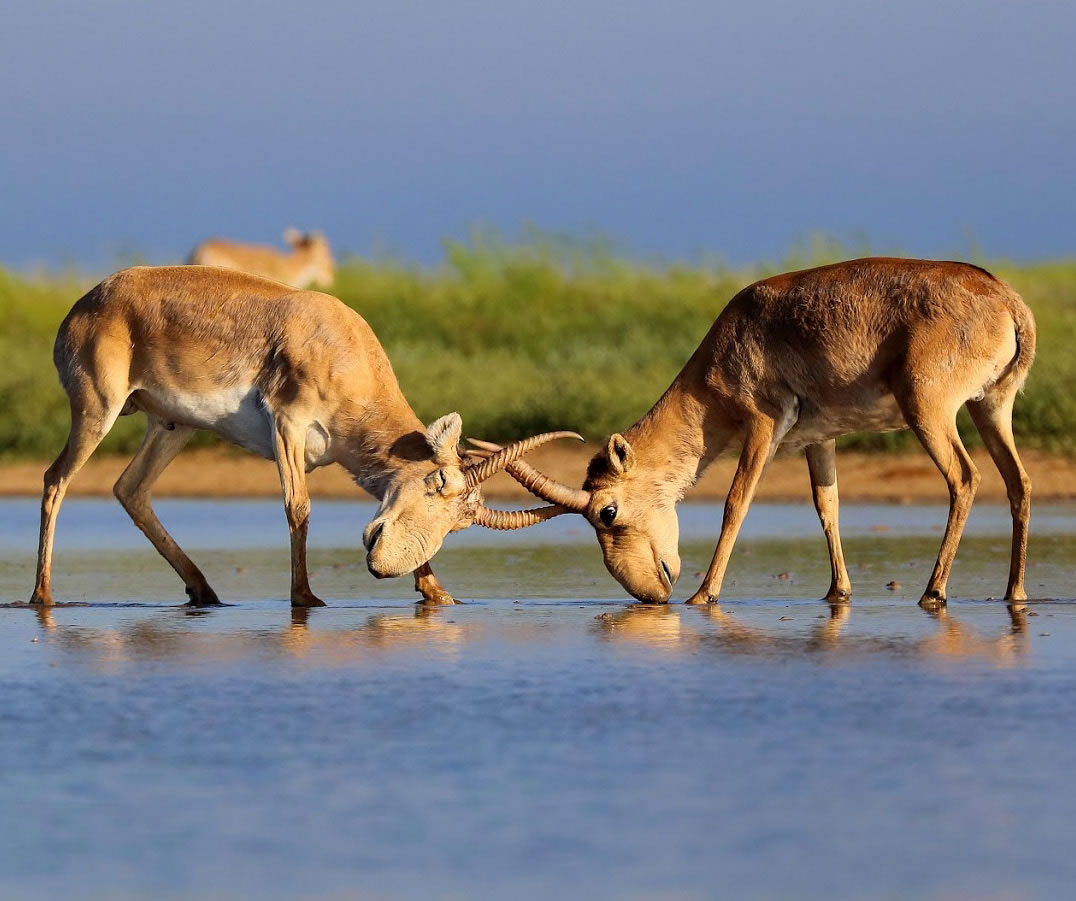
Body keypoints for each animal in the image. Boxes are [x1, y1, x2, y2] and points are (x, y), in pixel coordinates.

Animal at [29, 263, 576, 607]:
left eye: (461, 523)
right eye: (438, 483)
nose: (381, 568)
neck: (342, 345)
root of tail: (86, 303)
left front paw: (438, 593)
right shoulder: (287, 426)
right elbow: (299, 507)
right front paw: (306, 598)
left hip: (172, 425)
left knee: (130, 489)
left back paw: (205, 592)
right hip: (98, 409)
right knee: (56, 479)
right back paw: (42, 597)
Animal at [477, 260, 1032, 611]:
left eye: (606, 512)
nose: (651, 595)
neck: (739, 329)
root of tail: (1008, 302)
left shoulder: (763, 424)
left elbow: (736, 502)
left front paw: (704, 595)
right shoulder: (820, 439)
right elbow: (826, 506)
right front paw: (838, 593)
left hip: (930, 413)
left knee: (965, 478)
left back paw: (933, 592)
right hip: (991, 407)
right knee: (1017, 482)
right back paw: (1014, 593)